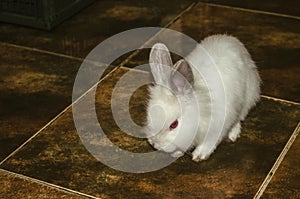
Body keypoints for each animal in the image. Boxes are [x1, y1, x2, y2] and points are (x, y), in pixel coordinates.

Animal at [145, 34, 260, 162]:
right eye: (149, 115)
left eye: (174, 124)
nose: (155, 144)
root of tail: (230, 39)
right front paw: (177, 153)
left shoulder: (217, 125)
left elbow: (209, 142)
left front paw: (199, 155)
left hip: (248, 97)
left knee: (239, 117)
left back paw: (233, 134)